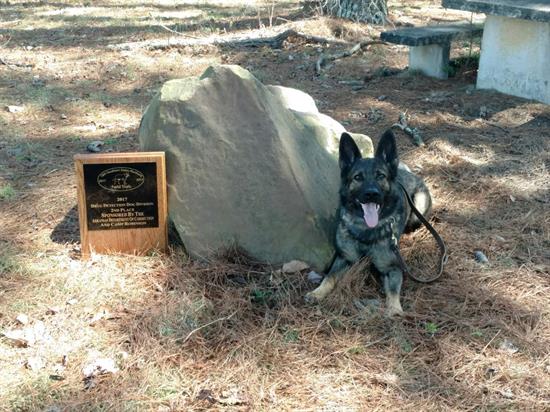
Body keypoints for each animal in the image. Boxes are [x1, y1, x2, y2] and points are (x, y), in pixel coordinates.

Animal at [308, 130, 434, 318]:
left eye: (380, 175)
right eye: (358, 177)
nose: (371, 194)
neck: (365, 232)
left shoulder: (393, 267)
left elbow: (393, 291)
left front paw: (394, 309)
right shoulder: (344, 258)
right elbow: (329, 277)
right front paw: (317, 292)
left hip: (418, 206)